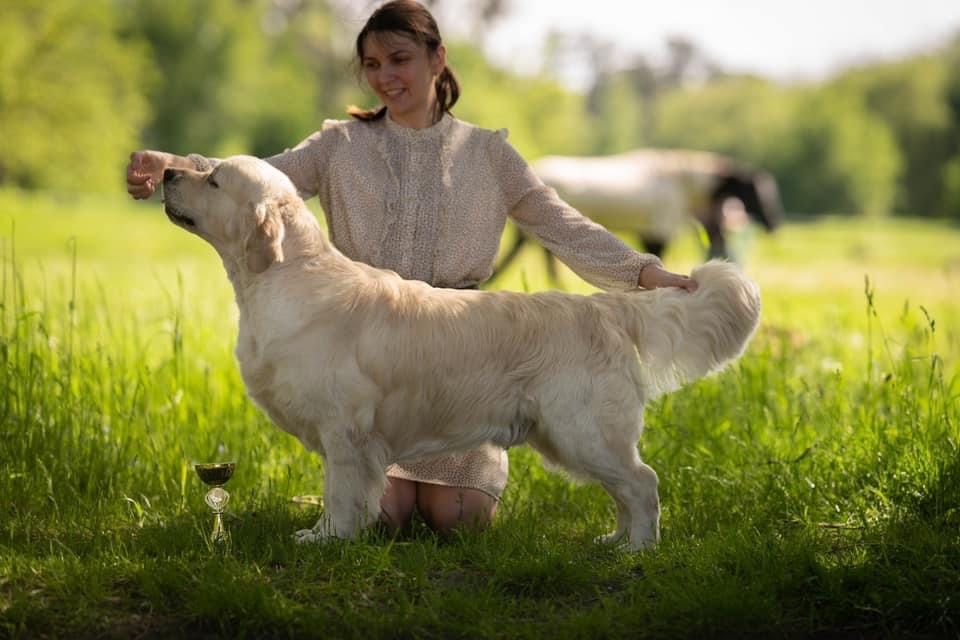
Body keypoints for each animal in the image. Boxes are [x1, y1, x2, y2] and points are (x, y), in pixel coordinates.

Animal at [167, 155, 764, 552]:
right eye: (201, 169)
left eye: (213, 179)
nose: (168, 173)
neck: (285, 277)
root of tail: (605, 307)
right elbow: (344, 493)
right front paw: (330, 535)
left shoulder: (346, 431)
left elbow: (339, 494)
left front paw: (327, 540)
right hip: (569, 437)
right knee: (627, 490)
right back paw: (613, 541)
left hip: (584, 430)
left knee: (643, 483)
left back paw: (638, 550)